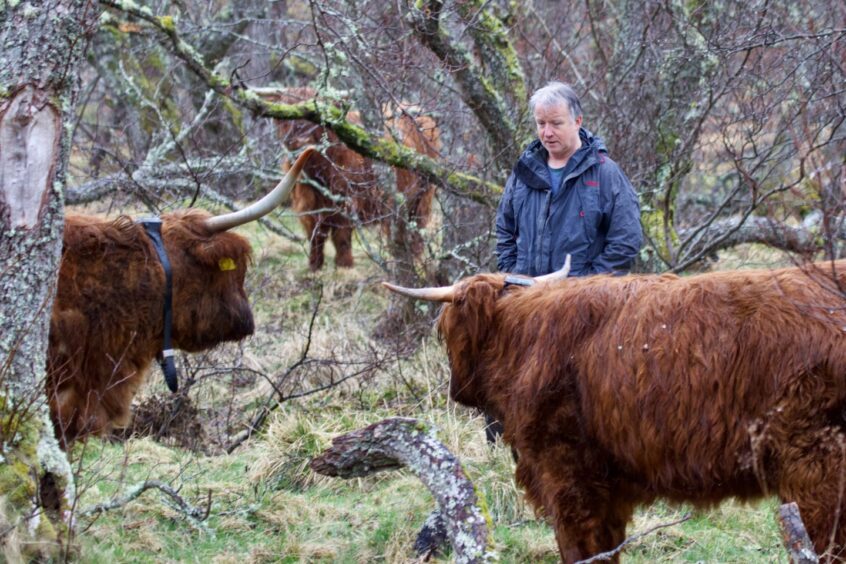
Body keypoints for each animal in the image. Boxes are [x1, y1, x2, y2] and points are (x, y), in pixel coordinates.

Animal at [270, 87, 441, 270]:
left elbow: (342, 238)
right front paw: (314, 267)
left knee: (416, 231)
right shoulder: (308, 206)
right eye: (289, 114)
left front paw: (344, 266)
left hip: (422, 197)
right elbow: (315, 237)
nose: (302, 141)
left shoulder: (346, 202)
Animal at [384, 257, 846, 562]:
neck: (522, 339)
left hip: (815, 468)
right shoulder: (609, 488)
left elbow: (581, 548)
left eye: (445, 332)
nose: (456, 390)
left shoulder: (565, 475)